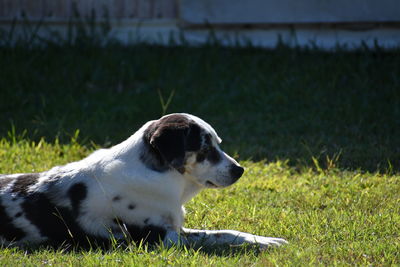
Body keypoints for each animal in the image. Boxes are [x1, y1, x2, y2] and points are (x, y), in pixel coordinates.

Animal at [0, 114, 288, 250]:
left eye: (218, 143)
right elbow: (215, 239)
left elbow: (226, 233)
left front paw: (265, 240)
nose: (240, 170)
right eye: (205, 148)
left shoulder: (177, 228)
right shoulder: (162, 238)